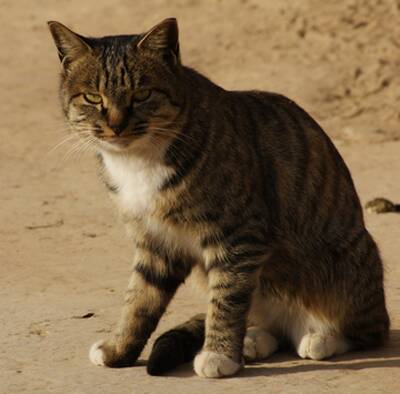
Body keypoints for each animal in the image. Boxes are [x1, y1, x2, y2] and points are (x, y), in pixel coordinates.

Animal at [48, 17, 390, 378]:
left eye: (141, 95)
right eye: (92, 97)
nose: (116, 126)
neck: (138, 160)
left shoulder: (239, 236)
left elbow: (227, 298)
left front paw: (219, 354)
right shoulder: (155, 242)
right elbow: (139, 300)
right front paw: (118, 349)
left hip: (345, 266)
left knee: (369, 328)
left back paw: (321, 338)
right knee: (269, 326)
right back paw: (255, 340)